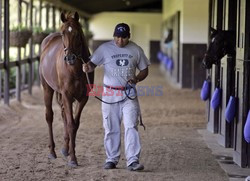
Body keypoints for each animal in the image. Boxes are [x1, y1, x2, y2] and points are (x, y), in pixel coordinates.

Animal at [39, 11, 94, 167]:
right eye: (63, 33)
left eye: (77, 33)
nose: (70, 58)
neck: (75, 70)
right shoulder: (67, 96)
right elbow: (70, 124)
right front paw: (73, 159)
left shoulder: (83, 98)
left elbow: (75, 124)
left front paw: (71, 154)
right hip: (47, 89)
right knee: (49, 116)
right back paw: (52, 151)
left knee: (63, 115)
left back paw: (65, 149)